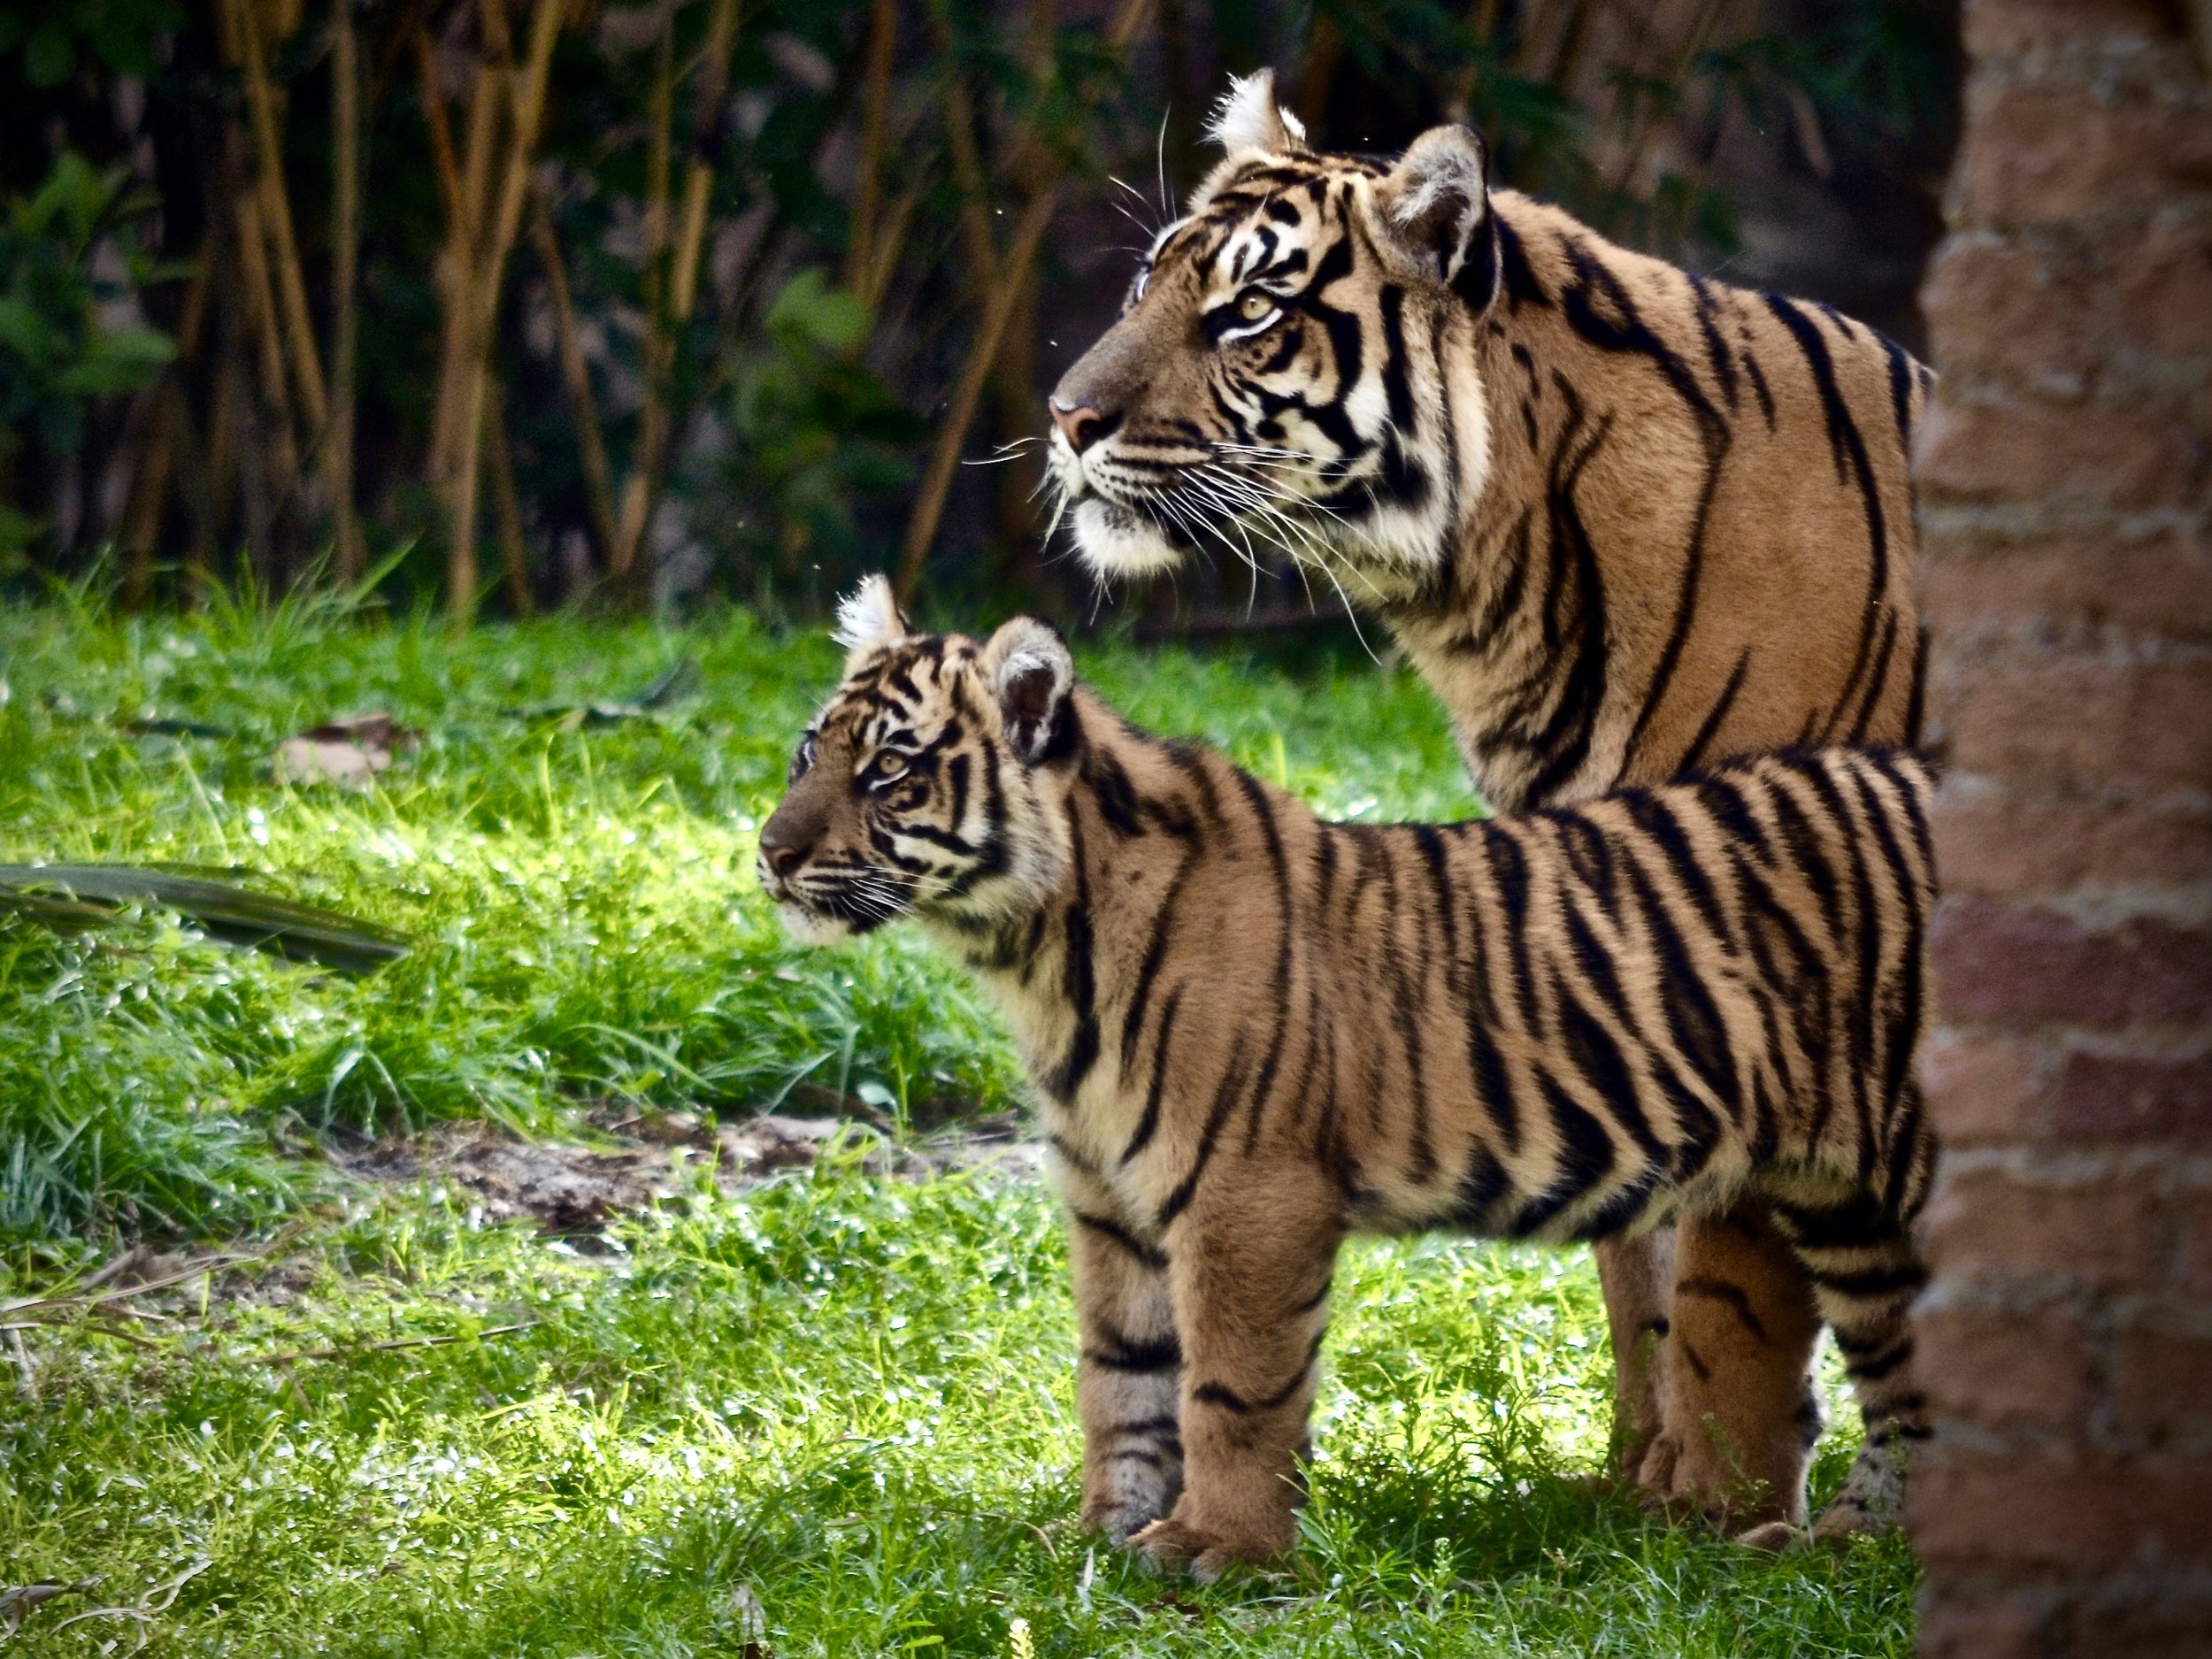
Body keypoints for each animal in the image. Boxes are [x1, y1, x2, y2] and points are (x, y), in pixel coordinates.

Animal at [756, 576, 1937, 1577]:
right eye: (810, 751)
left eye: (889, 772)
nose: (768, 852)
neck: (1032, 953)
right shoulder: (1108, 1203)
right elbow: (1119, 1380)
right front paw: (1099, 1535)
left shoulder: (1246, 1195)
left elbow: (1229, 1389)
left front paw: (1218, 1551)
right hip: (1843, 1201)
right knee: (1905, 1370)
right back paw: (1853, 1549)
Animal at [1040, 69, 1932, 1536]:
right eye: (1146, 283)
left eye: (1248, 312)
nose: (1066, 420)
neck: (1501, 584)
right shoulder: (1618, 922)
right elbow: (1639, 1261)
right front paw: (1634, 1480)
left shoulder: (1770, 925)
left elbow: (1727, 1277)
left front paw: (1716, 1504)